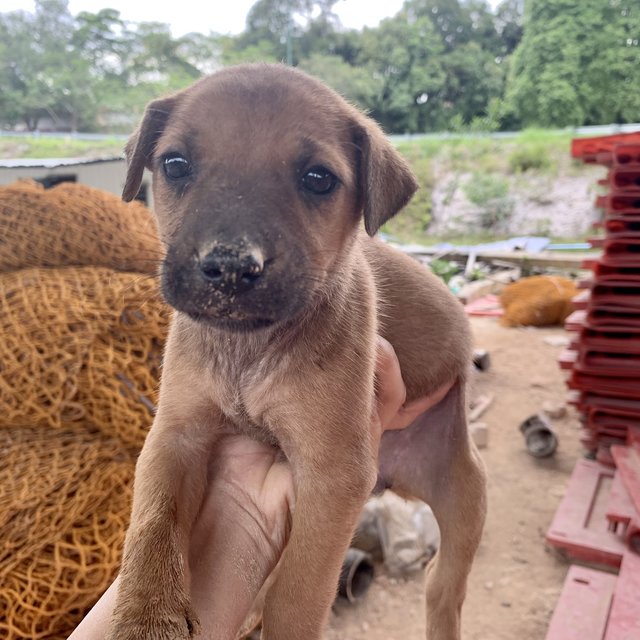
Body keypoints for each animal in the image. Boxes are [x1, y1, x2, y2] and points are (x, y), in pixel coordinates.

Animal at [110, 61, 488, 640]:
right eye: (174, 164)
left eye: (318, 178)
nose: (230, 266)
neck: (248, 346)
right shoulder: (174, 437)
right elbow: (152, 526)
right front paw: (145, 615)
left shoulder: (332, 476)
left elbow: (299, 591)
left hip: (465, 498)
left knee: (442, 589)